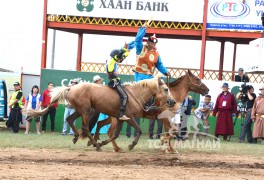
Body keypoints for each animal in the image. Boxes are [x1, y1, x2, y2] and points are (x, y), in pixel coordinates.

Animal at [27, 77, 175, 150]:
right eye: (166, 89)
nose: (173, 101)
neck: (135, 94)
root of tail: (71, 88)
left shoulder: (120, 119)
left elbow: (114, 135)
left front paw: (107, 143)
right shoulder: (129, 118)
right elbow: (137, 130)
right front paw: (131, 145)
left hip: (80, 111)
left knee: (70, 120)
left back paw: (77, 137)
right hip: (85, 111)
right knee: (86, 128)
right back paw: (95, 144)